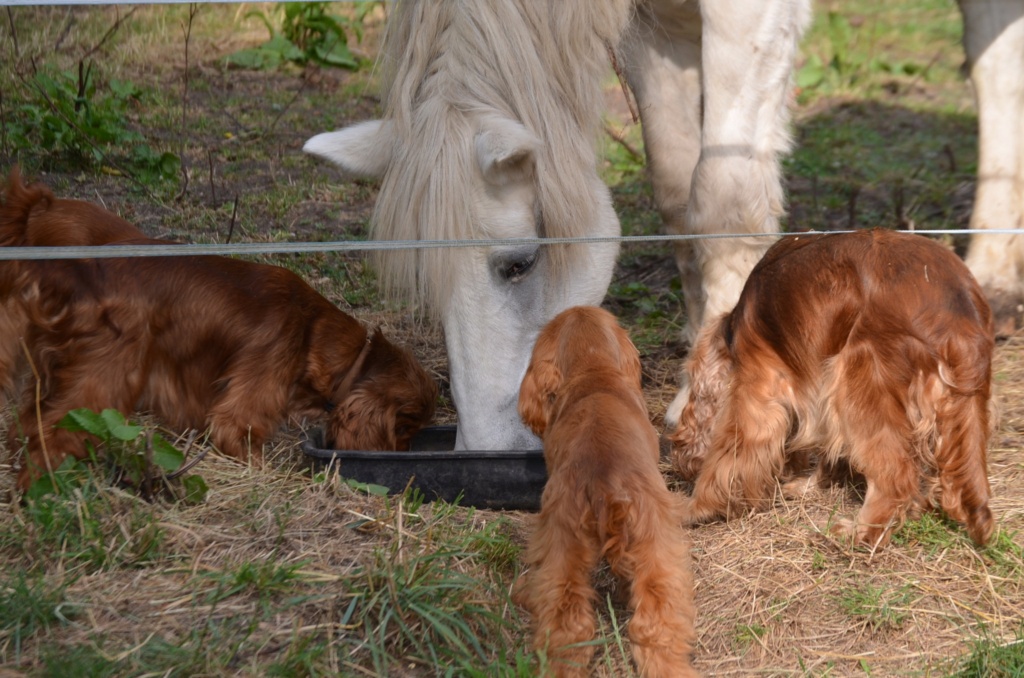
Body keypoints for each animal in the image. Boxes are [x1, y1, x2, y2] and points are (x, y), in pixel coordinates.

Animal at [305, 2, 1024, 454]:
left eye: (519, 264)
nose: (485, 448)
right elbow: (679, 185)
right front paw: (703, 338)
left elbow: (725, 196)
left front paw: (722, 393)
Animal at [667, 231, 995, 548]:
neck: (734, 326)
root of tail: (959, 316)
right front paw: (812, 484)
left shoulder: (757, 385)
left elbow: (730, 451)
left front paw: (698, 507)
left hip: (858, 378)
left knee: (895, 475)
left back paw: (860, 533)